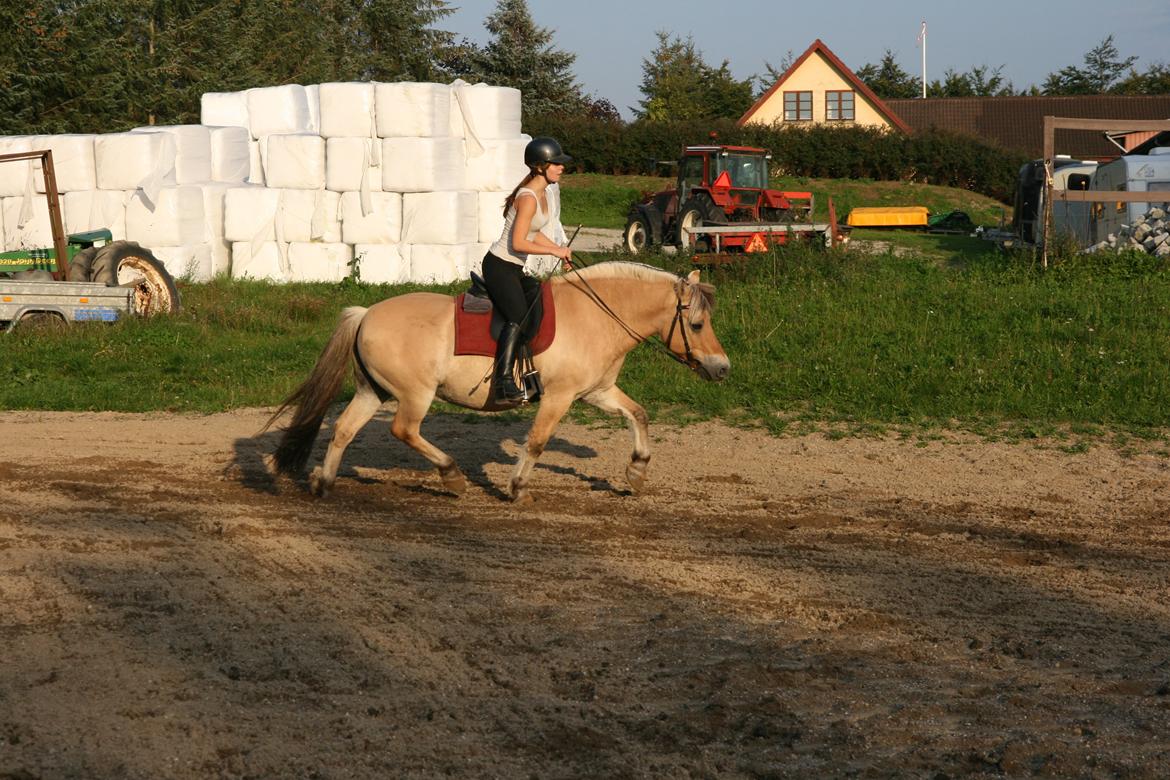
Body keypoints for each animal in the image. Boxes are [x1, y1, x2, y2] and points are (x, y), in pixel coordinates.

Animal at [267, 260, 730, 507]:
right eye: (697, 324)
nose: (722, 368)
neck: (596, 315)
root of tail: (366, 315)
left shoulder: (596, 392)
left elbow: (639, 415)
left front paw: (636, 472)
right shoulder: (560, 397)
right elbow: (537, 443)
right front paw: (518, 488)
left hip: (372, 391)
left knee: (344, 430)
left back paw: (323, 483)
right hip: (415, 395)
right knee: (404, 430)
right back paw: (451, 475)